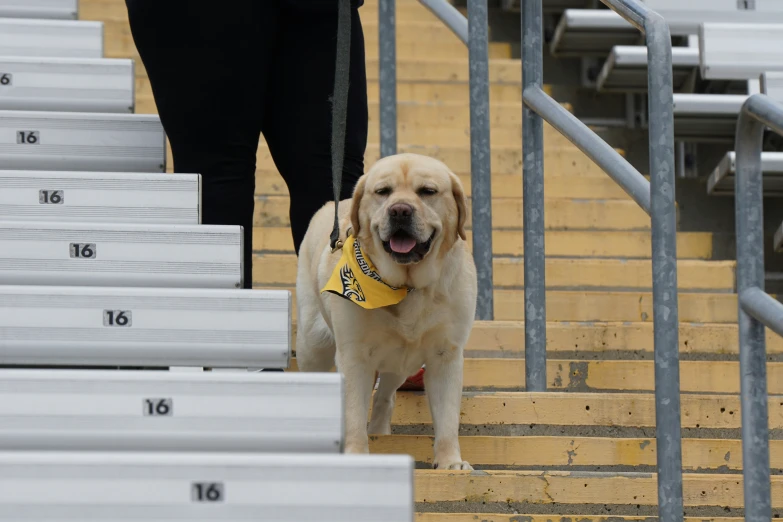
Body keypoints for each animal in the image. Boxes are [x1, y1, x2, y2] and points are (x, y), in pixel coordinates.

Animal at [296, 150, 474, 468]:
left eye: (427, 191)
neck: (406, 286)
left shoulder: (446, 355)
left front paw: (450, 462)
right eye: (383, 192)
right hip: (312, 345)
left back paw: (380, 430)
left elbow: (447, 417)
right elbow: (353, 413)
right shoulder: (353, 356)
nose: (400, 211)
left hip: (402, 363)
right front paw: (355, 454)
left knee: (385, 396)